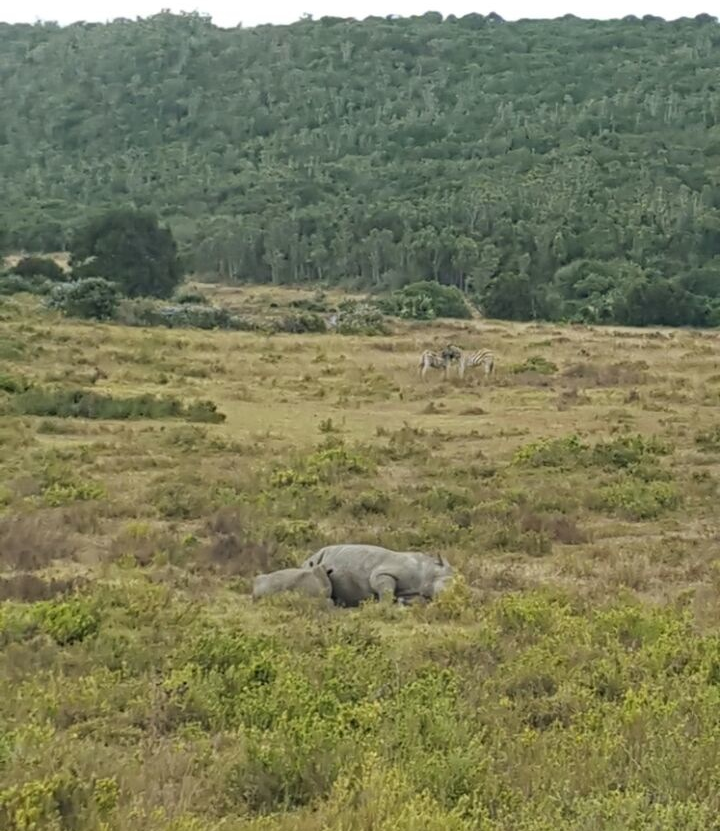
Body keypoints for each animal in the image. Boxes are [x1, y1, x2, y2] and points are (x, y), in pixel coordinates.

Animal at [300, 544, 452, 608]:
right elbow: (386, 591)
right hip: (312, 562)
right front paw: (382, 606)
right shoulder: (383, 573)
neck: (429, 569)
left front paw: (401, 602)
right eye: (448, 582)